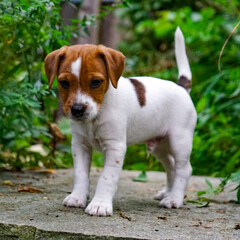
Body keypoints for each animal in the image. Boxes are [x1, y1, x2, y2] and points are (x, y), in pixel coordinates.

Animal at [44, 27, 197, 216]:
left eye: (96, 82)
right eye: (64, 83)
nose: (77, 110)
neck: (97, 115)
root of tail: (181, 87)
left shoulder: (114, 147)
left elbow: (106, 177)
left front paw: (100, 204)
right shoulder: (80, 145)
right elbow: (80, 174)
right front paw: (77, 197)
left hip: (179, 141)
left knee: (183, 169)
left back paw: (174, 198)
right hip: (159, 145)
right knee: (171, 165)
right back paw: (167, 193)